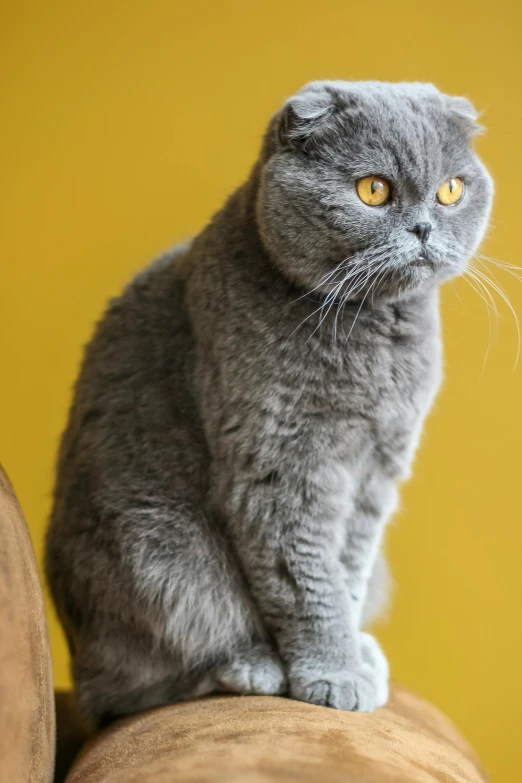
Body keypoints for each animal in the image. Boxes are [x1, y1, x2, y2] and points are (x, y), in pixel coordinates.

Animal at [45, 79, 492, 724]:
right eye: (374, 190)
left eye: (451, 190)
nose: (425, 228)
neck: (372, 333)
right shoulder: (281, 462)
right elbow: (307, 579)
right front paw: (333, 674)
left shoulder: (378, 466)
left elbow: (346, 569)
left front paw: (349, 655)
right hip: (158, 551)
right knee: (130, 687)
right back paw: (248, 664)